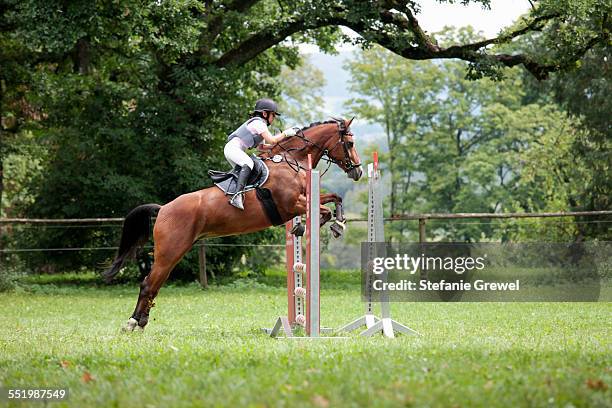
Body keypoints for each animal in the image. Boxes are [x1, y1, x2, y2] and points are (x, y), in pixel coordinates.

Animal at [105, 116, 364, 330]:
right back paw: (132, 323)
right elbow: (323, 210)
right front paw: (311, 226)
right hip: (169, 252)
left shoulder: (304, 197)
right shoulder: (291, 204)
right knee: (148, 284)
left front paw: (338, 224)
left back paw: (141, 321)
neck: (292, 160)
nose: (359, 172)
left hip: (173, 253)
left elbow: (335, 198)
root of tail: (163, 209)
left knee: (154, 285)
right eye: (350, 144)